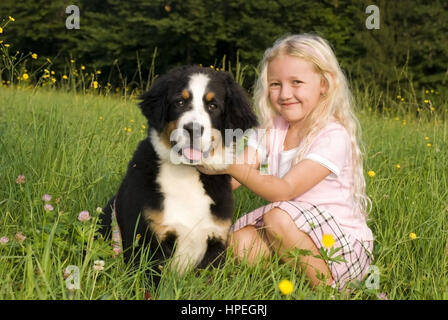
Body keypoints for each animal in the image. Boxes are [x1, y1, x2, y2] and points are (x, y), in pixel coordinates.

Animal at [99, 65, 258, 284]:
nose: (193, 129)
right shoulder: (146, 240)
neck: (186, 173)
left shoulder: (215, 242)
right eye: (180, 102)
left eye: (213, 106)